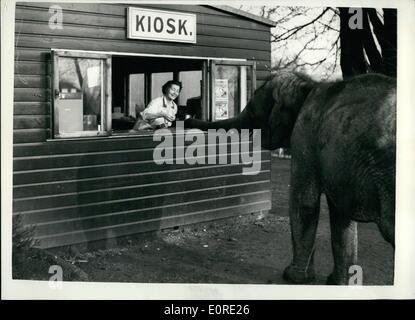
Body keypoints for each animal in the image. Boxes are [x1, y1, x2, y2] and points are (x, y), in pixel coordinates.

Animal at [186, 72, 396, 284]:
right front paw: (338, 282)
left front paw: (293, 277)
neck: (307, 85)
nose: (187, 120)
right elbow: (340, 214)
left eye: (253, 113)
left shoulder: (304, 136)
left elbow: (304, 202)